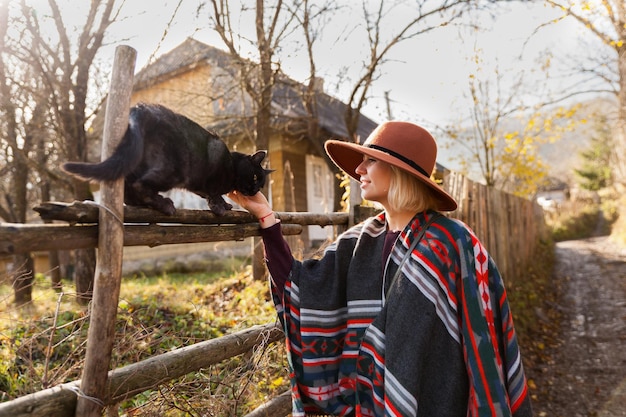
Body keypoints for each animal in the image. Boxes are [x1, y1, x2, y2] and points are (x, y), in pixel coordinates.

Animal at [62, 103, 270, 214]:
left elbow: (207, 193)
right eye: (254, 177)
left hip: (134, 160)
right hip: (174, 170)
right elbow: (213, 193)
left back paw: (145, 204)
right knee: (140, 185)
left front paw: (225, 204)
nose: (254, 190)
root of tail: (141, 108)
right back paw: (164, 204)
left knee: (129, 191)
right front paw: (219, 206)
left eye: (260, 185)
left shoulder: (197, 185)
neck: (233, 167)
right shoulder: (214, 164)